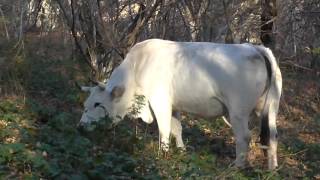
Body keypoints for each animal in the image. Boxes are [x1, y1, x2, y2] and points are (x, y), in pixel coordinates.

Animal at [79, 38, 282, 169]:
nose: (80, 127)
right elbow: (177, 128)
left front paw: (163, 154)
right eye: (85, 105)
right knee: (272, 136)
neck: (137, 68)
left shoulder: (160, 101)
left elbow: (164, 129)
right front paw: (181, 151)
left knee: (244, 137)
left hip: (238, 111)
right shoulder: (175, 105)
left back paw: (237, 166)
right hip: (270, 107)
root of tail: (255, 49)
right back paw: (272, 169)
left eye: (97, 104)